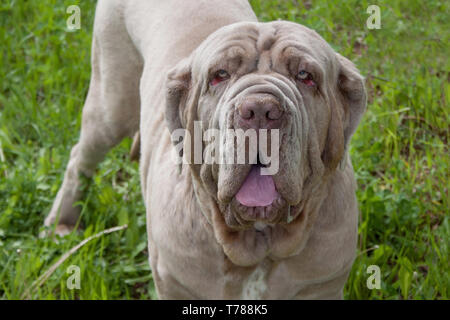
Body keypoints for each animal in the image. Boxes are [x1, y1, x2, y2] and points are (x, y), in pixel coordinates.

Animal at [44, 0, 366, 300]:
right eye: (219, 75)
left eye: (305, 76)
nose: (261, 110)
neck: (258, 243)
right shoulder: (175, 284)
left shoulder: (323, 286)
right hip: (111, 104)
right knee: (80, 158)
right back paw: (61, 222)